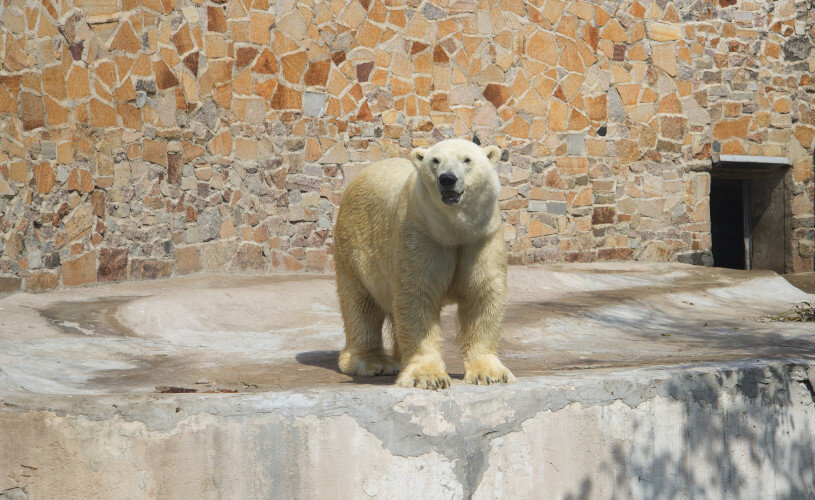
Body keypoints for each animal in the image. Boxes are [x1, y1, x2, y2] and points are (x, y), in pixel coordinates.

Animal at [334, 139, 516, 388]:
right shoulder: (420, 234)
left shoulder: (482, 238)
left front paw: (490, 374)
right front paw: (428, 377)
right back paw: (373, 363)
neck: (453, 231)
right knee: (361, 303)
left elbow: (482, 294)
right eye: (435, 160)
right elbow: (417, 297)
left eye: (467, 159)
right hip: (354, 245)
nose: (447, 178)